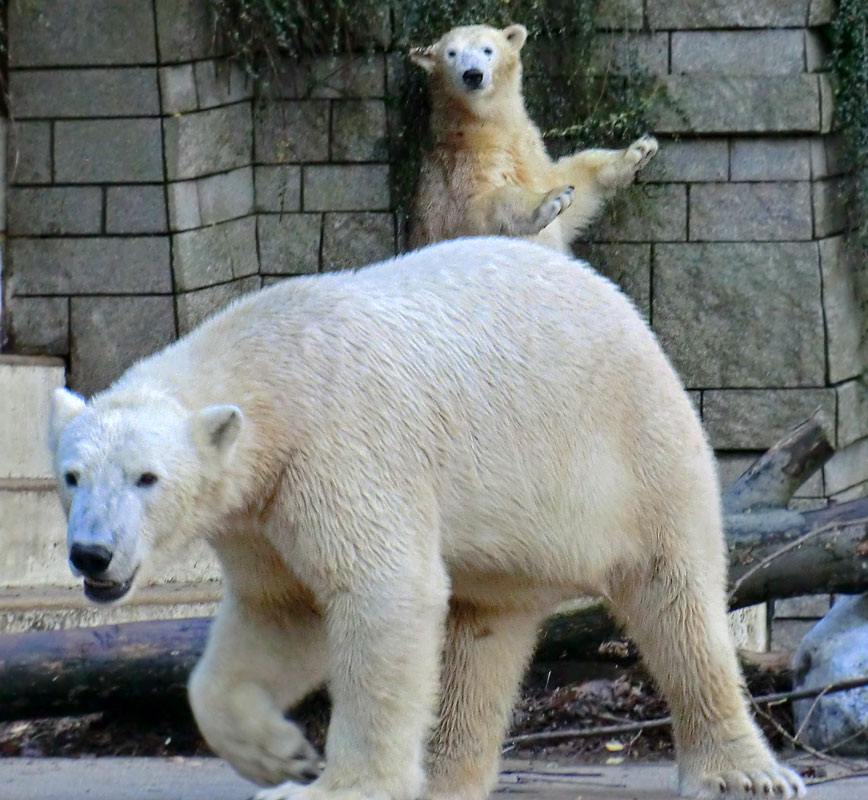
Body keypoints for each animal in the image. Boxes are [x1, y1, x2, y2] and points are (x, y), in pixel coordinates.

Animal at [50, 238, 804, 800]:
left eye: (147, 477)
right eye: (72, 476)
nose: (91, 554)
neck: (273, 365)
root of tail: (620, 302)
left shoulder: (339, 450)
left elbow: (382, 592)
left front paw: (335, 784)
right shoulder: (259, 514)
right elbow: (279, 615)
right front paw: (280, 754)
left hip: (633, 449)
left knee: (675, 595)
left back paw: (744, 772)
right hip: (510, 537)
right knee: (481, 632)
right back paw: (447, 775)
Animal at [406, 23, 656, 253]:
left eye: (487, 50)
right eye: (451, 53)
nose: (473, 75)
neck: (484, 126)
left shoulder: (529, 150)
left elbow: (571, 183)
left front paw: (637, 152)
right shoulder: (457, 168)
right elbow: (475, 210)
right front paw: (551, 199)